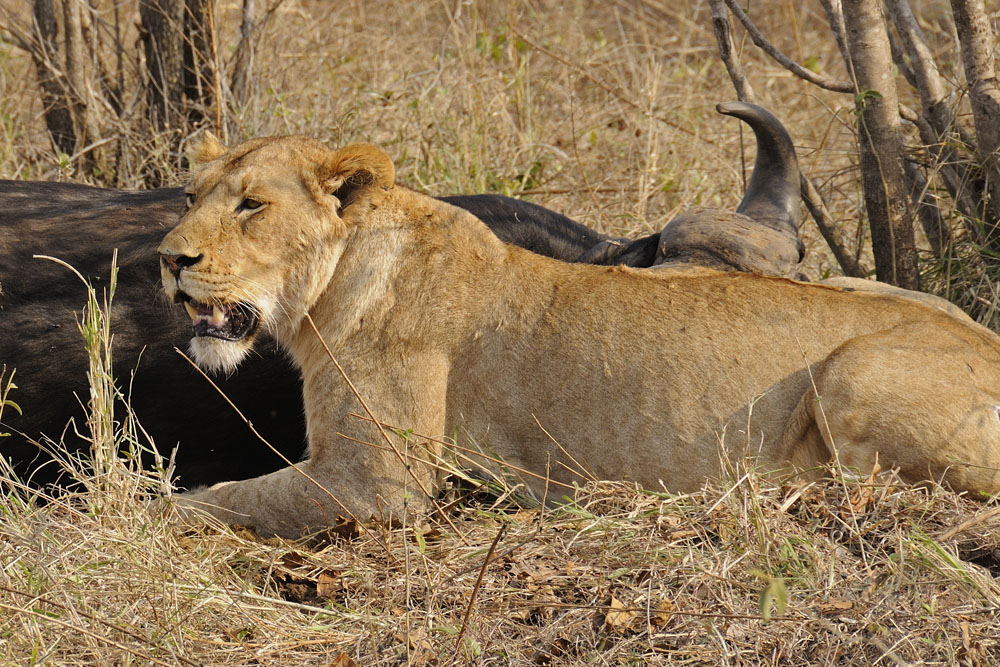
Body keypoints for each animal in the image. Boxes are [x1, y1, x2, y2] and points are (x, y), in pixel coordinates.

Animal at [158, 135, 1000, 537]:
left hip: (854, 373)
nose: (169, 258)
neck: (327, 288)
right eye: (192, 197)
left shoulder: (376, 484)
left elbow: (219, 500)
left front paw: (134, 514)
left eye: (252, 205)